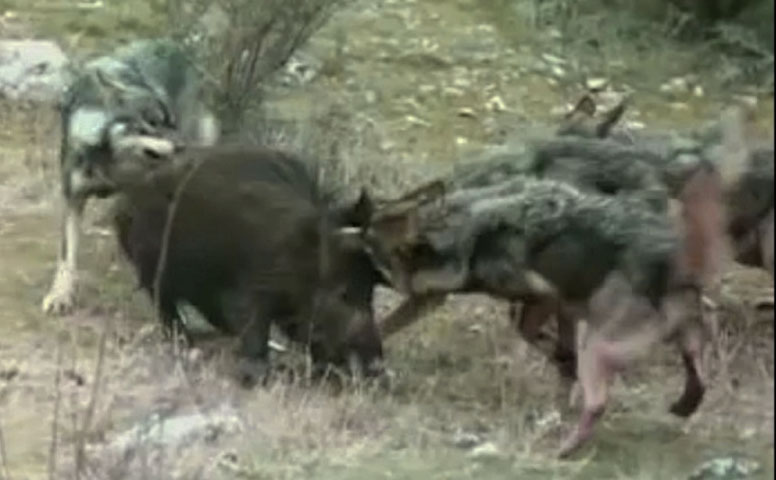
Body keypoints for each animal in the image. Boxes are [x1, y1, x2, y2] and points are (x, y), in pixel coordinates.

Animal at [41, 39, 220, 316]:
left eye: (172, 122)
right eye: (153, 123)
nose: (186, 147)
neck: (107, 157)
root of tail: (174, 46)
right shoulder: (73, 199)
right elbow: (66, 256)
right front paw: (60, 295)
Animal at [110, 143, 388, 386]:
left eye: (371, 292)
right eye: (343, 292)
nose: (377, 366)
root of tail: (124, 200)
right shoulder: (253, 288)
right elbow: (254, 326)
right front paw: (257, 376)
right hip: (151, 264)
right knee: (163, 301)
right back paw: (186, 341)